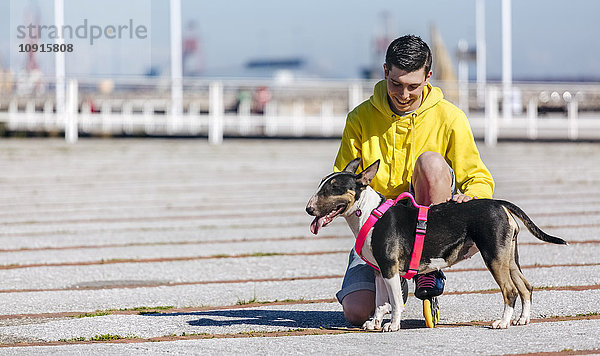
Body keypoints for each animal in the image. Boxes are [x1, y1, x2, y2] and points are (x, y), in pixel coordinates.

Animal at [308, 159, 564, 330]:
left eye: (333, 188)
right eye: (321, 185)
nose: (308, 209)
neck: (370, 213)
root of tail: (500, 204)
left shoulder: (390, 267)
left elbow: (395, 301)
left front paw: (393, 325)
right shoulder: (380, 271)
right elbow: (381, 302)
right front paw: (375, 322)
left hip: (493, 256)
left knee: (510, 290)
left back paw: (502, 322)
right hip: (508, 257)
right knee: (525, 286)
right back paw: (522, 319)